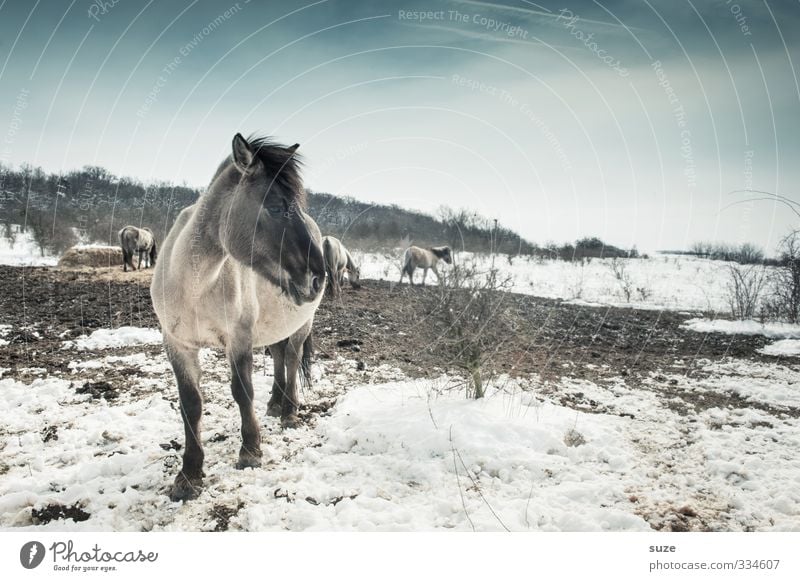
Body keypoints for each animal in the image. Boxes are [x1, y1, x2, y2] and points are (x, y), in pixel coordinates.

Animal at [148, 133, 326, 498]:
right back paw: (275, 404)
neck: (195, 285)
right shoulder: (177, 345)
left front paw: (250, 451)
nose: (318, 278)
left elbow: (242, 391)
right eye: (275, 206)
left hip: (302, 325)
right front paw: (189, 475)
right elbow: (190, 403)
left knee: (291, 358)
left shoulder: (239, 339)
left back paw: (289, 413)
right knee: (279, 356)